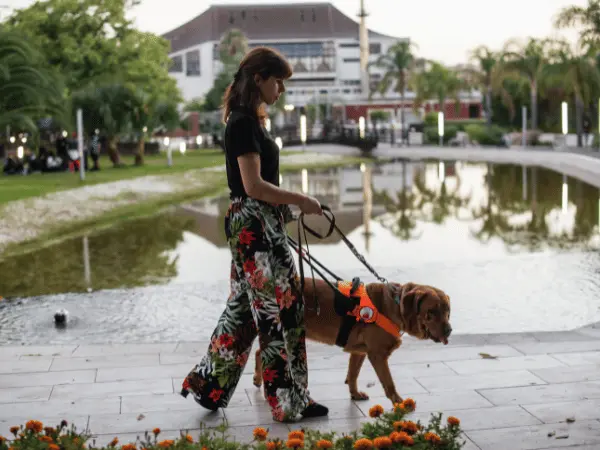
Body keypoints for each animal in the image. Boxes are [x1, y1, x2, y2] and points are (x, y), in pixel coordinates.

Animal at [251, 278, 452, 404]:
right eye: (431, 312)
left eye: (447, 310)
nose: (449, 330)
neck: (394, 307)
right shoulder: (377, 355)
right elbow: (388, 382)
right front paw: (398, 402)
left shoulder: (359, 352)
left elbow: (353, 374)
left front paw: (354, 393)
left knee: (260, 351)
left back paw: (259, 378)